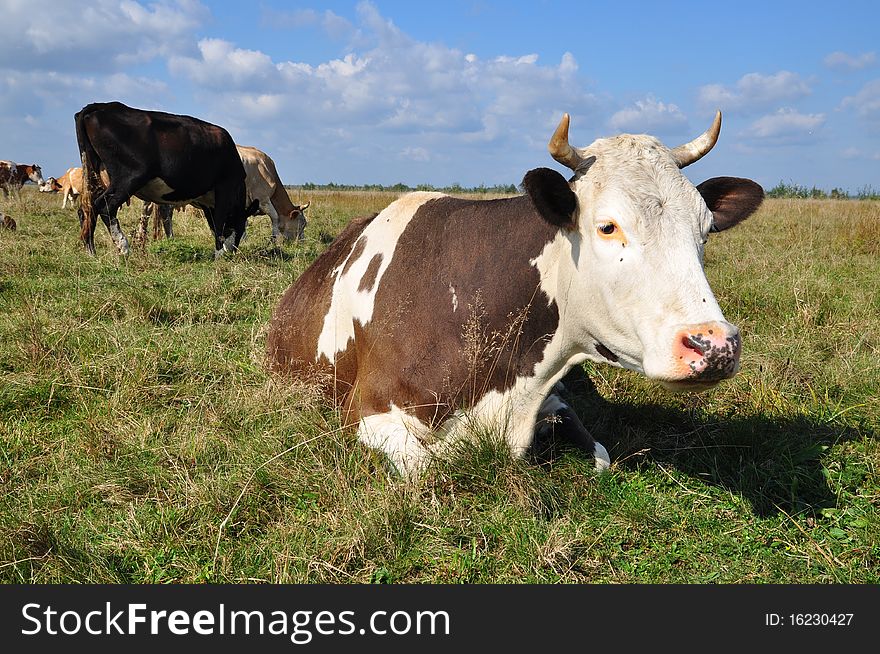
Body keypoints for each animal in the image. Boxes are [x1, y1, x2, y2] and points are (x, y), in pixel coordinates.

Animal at [73, 101, 251, 258]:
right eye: (242, 226)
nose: (234, 251)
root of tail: (103, 106)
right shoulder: (225, 186)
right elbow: (219, 222)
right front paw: (219, 255)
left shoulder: (209, 201)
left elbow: (214, 224)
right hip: (129, 178)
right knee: (104, 206)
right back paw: (123, 248)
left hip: (95, 174)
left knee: (87, 209)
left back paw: (91, 253)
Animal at [266, 113, 764, 480]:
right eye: (607, 226)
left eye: (705, 229)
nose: (714, 344)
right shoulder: (368, 408)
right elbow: (430, 469)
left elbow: (601, 456)